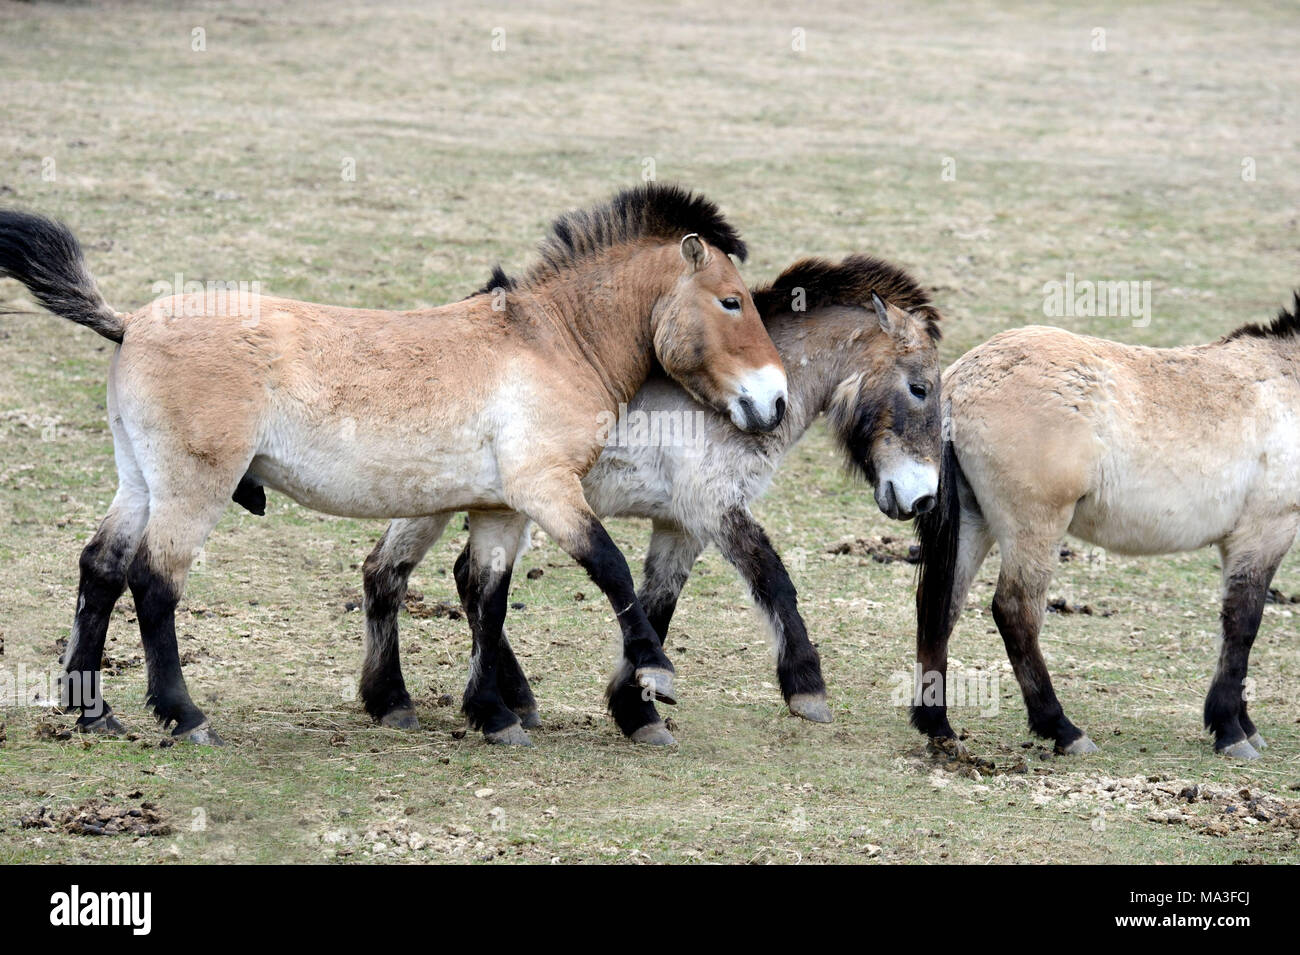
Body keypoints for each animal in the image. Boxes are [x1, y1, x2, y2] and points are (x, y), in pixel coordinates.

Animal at [0, 183, 785, 743]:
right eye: (732, 301)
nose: (774, 401)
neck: (550, 341)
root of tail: (129, 320)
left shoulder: (500, 509)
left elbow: (489, 600)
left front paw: (494, 715)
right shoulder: (547, 490)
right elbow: (610, 566)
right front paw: (654, 674)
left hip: (140, 482)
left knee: (101, 569)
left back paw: (93, 712)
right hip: (194, 489)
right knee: (153, 582)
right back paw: (185, 717)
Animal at [361, 255, 941, 748]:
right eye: (919, 389)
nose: (923, 498)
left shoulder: (682, 526)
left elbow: (657, 604)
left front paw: (637, 707)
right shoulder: (715, 508)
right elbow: (772, 578)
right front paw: (806, 687)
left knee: (429, 574)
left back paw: (481, 702)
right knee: (400, 573)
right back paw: (415, 701)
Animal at [915, 294, 1300, 758]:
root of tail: (960, 383)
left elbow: (1235, 625)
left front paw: (1244, 725)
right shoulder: (1265, 531)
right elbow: (1243, 625)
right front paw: (1230, 731)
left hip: (975, 523)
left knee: (940, 605)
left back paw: (938, 727)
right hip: (1034, 528)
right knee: (1014, 612)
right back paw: (1063, 729)